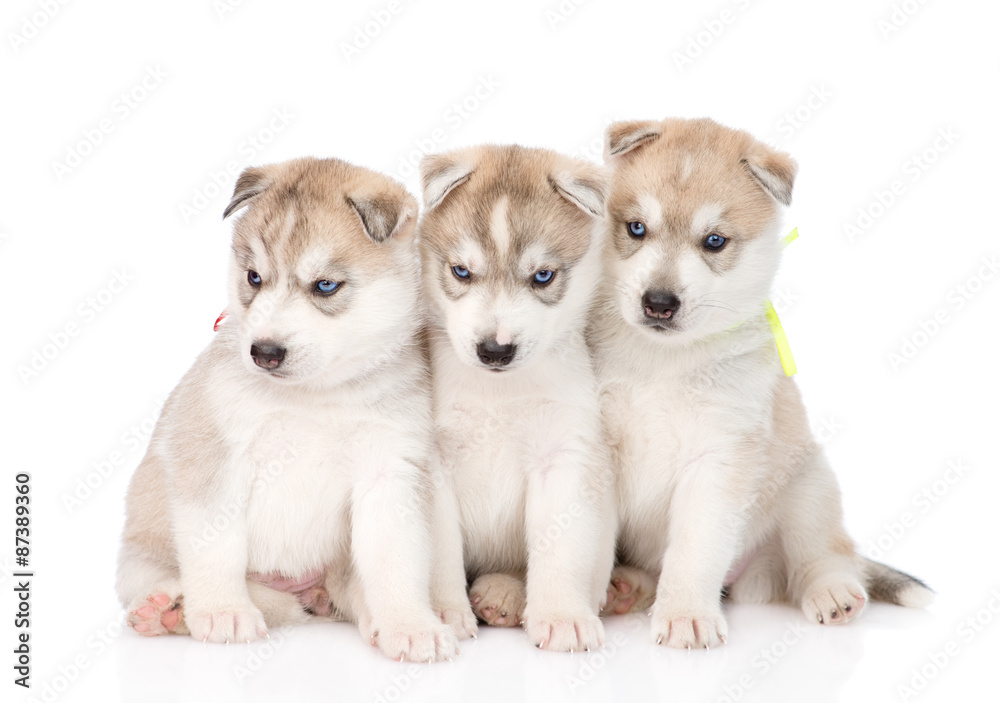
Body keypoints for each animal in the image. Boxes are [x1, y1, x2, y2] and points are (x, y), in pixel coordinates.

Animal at [116, 157, 460, 664]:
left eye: (325, 286)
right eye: (254, 277)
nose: (264, 352)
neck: (314, 395)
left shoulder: (388, 472)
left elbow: (394, 561)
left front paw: (409, 624)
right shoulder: (216, 461)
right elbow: (217, 548)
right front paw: (222, 610)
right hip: (141, 556)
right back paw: (170, 611)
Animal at [416, 144, 616, 656]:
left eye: (542, 276)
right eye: (461, 272)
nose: (495, 349)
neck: (499, 394)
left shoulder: (562, 457)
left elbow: (558, 547)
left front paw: (562, 617)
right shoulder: (433, 462)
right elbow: (439, 550)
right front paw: (444, 612)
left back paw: (504, 593)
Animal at [588, 119, 932, 648]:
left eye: (714, 241)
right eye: (636, 228)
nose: (659, 303)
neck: (663, 360)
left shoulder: (720, 459)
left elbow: (694, 549)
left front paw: (686, 615)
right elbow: (590, 538)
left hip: (809, 488)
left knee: (825, 556)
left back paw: (833, 593)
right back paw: (628, 586)